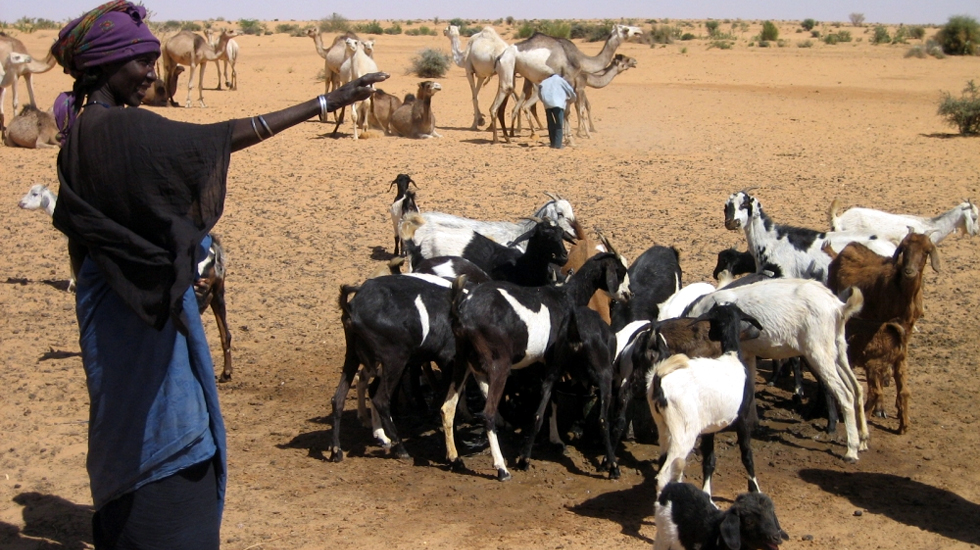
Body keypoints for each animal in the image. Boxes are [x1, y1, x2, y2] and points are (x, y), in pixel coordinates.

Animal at [442, 254, 632, 484]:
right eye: (620, 271)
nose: (628, 294)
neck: (566, 296)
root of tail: (462, 311)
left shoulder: (545, 365)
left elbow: (548, 402)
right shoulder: (551, 361)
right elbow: (553, 401)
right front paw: (556, 441)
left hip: (463, 360)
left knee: (447, 407)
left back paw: (455, 459)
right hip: (499, 366)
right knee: (487, 413)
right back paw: (502, 469)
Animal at [490, 24, 644, 143]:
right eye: (625, 29)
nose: (639, 31)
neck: (580, 60)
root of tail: (500, 56)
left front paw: (567, 137)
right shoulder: (570, 80)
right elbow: (571, 110)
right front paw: (571, 139)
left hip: (512, 72)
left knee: (506, 103)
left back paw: (508, 137)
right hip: (509, 65)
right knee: (500, 102)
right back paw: (498, 139)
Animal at [652, 304, 764, 498]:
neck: (731, 356)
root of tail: (660, 379)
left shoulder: (709, 427)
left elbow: (709, 460)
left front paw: (707, 494)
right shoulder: (742, 418)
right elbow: (746, 455)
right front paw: (755, 488)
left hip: (664, 427)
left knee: (665, 463)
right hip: (683, 430)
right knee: (666, 473)